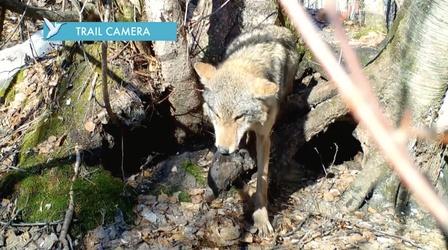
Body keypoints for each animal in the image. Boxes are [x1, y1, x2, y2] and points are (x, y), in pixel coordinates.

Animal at [194, 25, 300, 236]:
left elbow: (262, 180)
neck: (248, 61)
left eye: (238, 117)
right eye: (217, 114)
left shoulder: (264, 136)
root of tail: (277, 27)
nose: (224, 150)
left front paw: (261, 218)